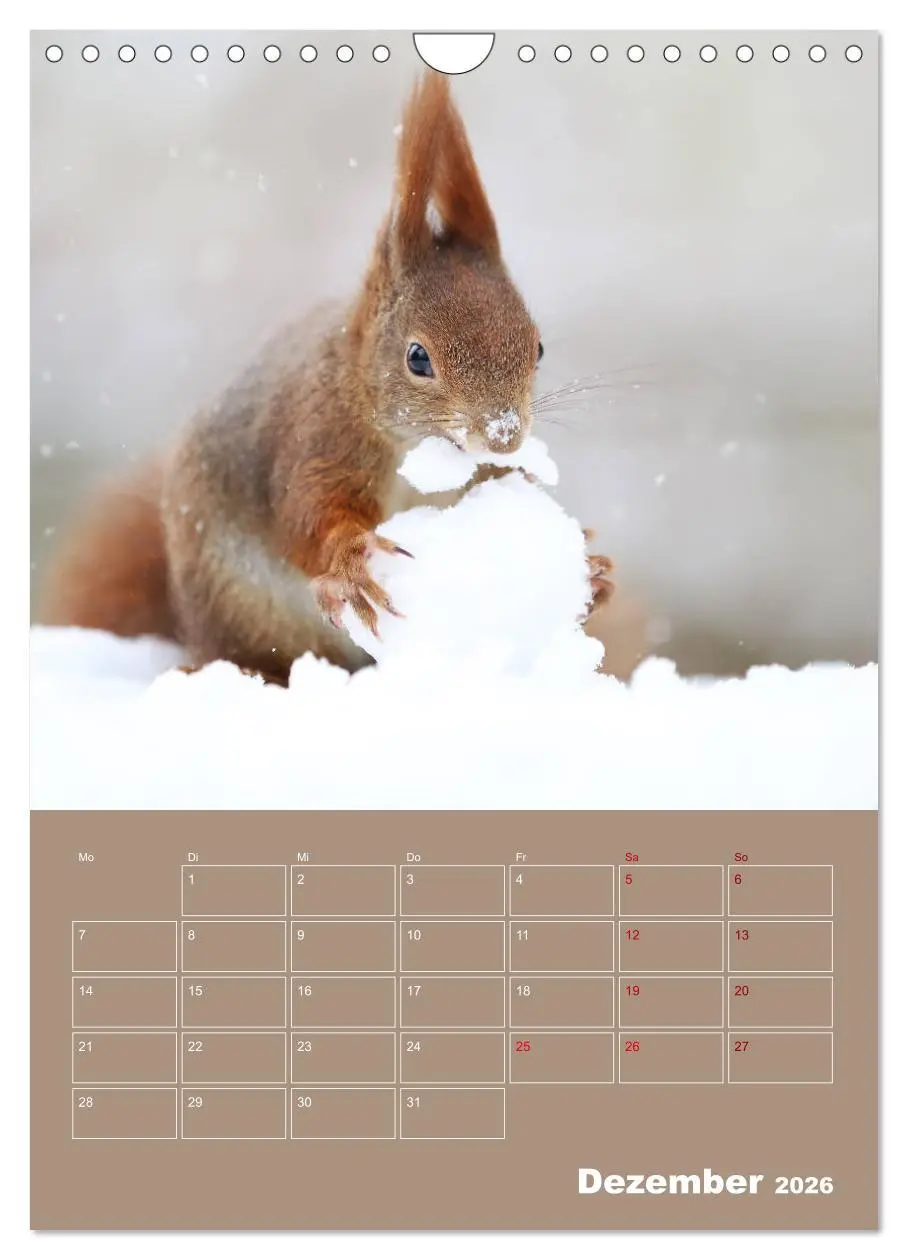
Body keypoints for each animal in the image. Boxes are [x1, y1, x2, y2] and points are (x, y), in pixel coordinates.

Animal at [40, 70, 616, 685]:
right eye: (418, 358)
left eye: (538, 348)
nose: (504, 435)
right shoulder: (315, 440)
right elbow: (309, 518)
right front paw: (349, 564)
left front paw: (592, 572)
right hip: (243, 611)